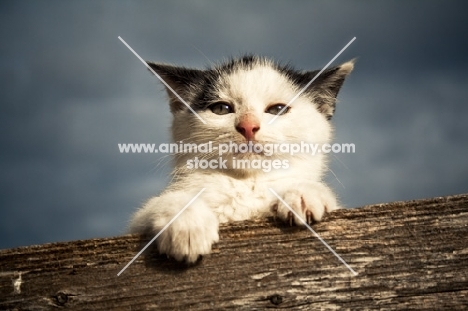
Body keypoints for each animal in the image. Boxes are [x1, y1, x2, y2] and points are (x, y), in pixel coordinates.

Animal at [130, 55, 352, 264]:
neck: (247, 184)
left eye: (277, 109)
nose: (248, 126)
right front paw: (187, 225)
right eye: (221, 109)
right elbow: (151, 208)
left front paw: (303, 192)